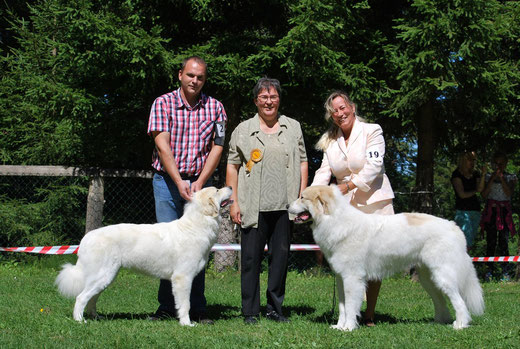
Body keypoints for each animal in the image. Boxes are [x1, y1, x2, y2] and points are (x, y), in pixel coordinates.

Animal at [55, 186, 233, 324]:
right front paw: (186, 324)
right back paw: (80, 320)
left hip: (105, 277)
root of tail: (86, 238)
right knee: (81, 298)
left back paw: (95, 317)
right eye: (217, 190)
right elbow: (185, 304)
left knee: (92, 298)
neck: (196, 225)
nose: (231, 187)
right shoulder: (183, 277)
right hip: (102, 275)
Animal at [288, 185, 484, 328]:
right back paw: (438, 322)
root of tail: (453, 226)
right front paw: (339, 327)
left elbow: (350, 306)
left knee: (459, 301)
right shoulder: (340, 278)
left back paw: (460, 324)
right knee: (441, 300)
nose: (287, 206)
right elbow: (343, 306)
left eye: (302, 197)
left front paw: (348, 328)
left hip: (442, 275)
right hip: (428, 279)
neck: (335, 220)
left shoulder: (352, 278)